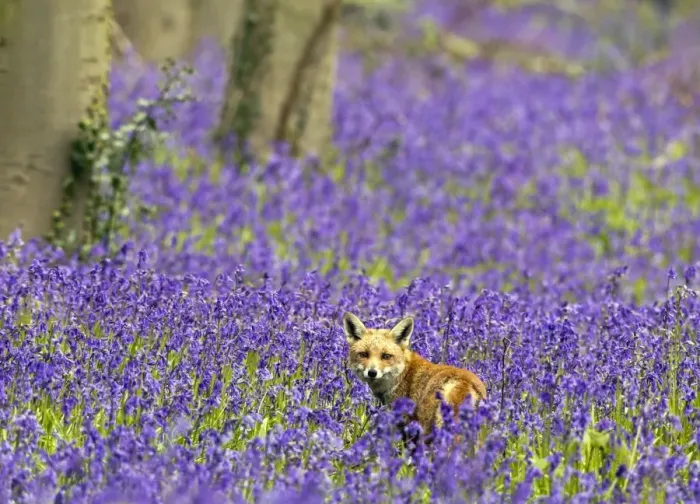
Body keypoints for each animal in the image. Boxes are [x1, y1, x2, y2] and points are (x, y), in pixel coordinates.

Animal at [343, 312, 487, 437]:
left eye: (386, 356)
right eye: (364, 354)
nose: (372, 372)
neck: (403, 375)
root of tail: (464, 382)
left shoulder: (405, 424)